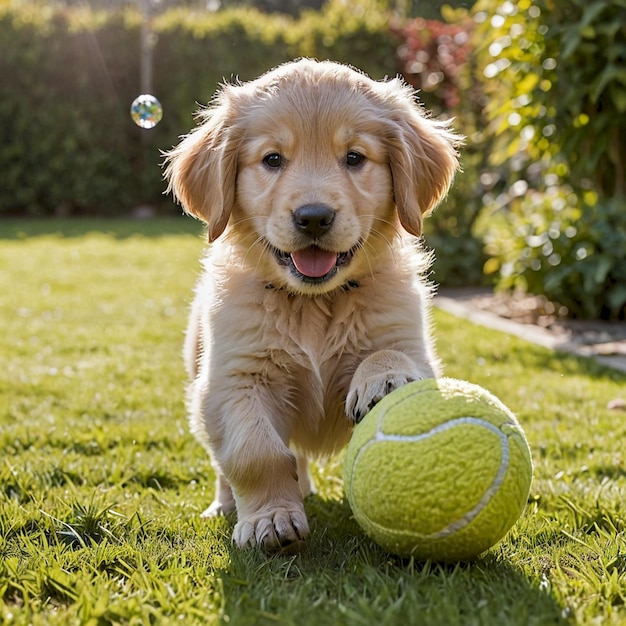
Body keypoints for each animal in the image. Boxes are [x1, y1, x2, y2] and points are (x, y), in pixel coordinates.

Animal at [165, 56, 458, 548]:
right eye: (272, 159)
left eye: (354, 157)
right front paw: (270, 519)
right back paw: (229, 504)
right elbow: (254, 452)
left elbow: (392, 354)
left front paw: (385, 378)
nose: (314, 218)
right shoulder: (234, 378)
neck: (313, 303)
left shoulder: (408, 338)